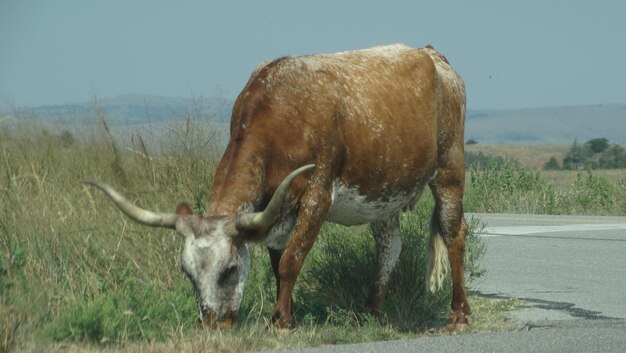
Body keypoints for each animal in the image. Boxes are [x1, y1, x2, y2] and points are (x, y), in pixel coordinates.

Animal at [86, 43, 468, 330]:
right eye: (188, 273)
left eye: (230, 270)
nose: (213, 324)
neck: (283, 112)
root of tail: (430, 54)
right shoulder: (275, 210)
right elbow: (277, 261)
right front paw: (288, 313)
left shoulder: (318, 194)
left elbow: (291, 260)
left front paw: (281, 320)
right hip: (383, 190)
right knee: (389, 247)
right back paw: (371, 312)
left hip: (449, 168)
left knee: (454, 233)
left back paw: (458, 314)